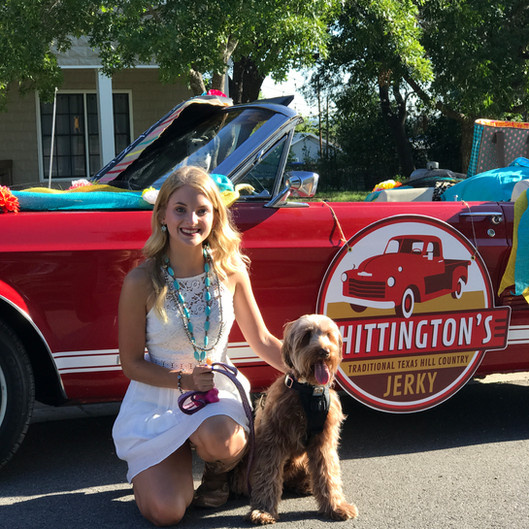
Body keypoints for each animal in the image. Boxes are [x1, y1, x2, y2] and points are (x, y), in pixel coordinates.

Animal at [245, 314, 356, 524]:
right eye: (306, 336)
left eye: (328, 335)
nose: (324, 351)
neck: (311, 393)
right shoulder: (272, 441)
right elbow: (267, 475)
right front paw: (263, 510)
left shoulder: (324, 441)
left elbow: (328, 472)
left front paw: (336, 506)